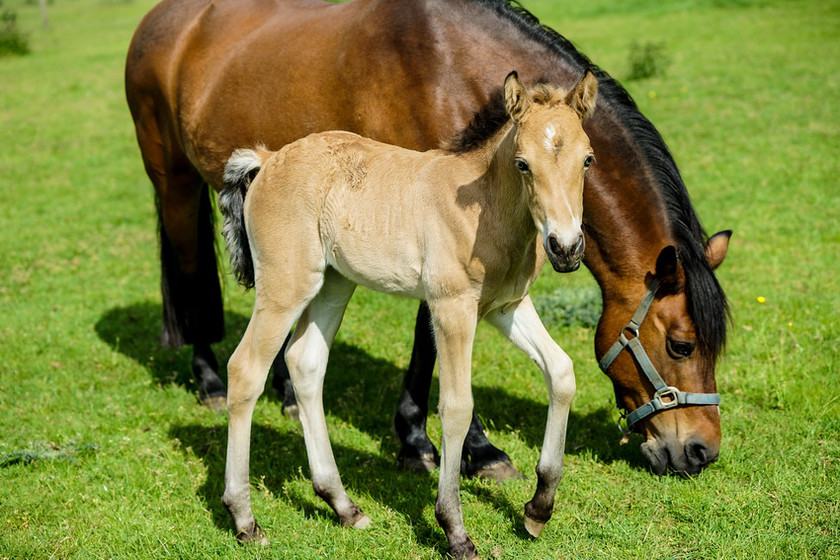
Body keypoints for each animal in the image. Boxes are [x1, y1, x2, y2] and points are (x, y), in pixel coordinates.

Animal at [123, 1, 728, 482]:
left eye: (589, 160)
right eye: (680, 345)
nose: (701, 450)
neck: (450, 69)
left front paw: (421, 438)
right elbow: (434, 342)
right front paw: (461, 448)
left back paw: (288, 394)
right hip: (174, 182)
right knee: (190, 265)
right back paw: (208, 380)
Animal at [217, 72, 596, 556]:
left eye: (587, 160)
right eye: (523, 163)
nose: (566, 249)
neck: (485, 207)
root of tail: (267, 160)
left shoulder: (506, 307)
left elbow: (562, 373)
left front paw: (537, 509)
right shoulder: (452, 307)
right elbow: (456, 406)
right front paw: (455, 531)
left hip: (334, 284)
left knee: (305, 363)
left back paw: (343, 505)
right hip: (287, 286)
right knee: (245, 370)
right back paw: (245, 520)